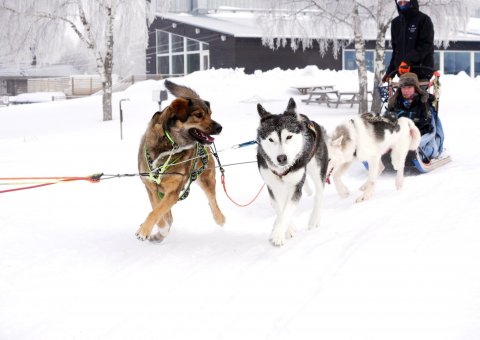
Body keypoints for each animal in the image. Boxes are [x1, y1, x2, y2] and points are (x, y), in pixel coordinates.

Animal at [135, 80, 225, 242]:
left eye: (210, 114)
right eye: (198, 115)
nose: (220, 127)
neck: (170, 143)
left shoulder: (173, 191)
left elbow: (156, 212)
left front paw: (146, 230)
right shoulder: (151, 188)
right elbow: (159, 213)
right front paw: (158, 230)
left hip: (206, 179)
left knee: (213, 202)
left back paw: (220, 218)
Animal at [255, 97, 330, 246]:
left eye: (288, 137)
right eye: (271, 139)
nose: (281, 158)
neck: (283, 170)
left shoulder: (296, 187)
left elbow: (287, 210)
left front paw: (279, 234)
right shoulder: (273, 186)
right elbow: (279, 208)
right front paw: (288, 228)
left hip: (317, 168)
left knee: (319, 194)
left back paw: (314, 219)